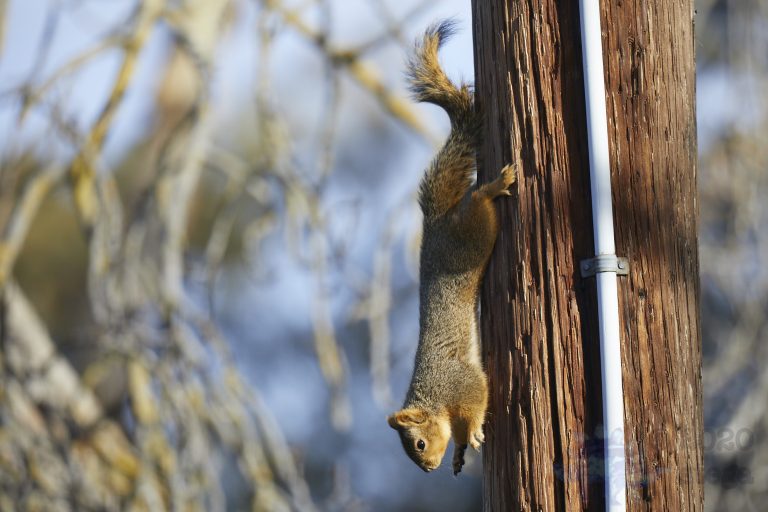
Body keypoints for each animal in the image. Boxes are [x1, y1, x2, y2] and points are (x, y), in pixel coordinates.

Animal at [387, 20, 516, 476]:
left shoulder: (461, 383)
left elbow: (478, 398)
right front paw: (461, 451)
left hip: (473, 236)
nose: (428, 469)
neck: (435, 399)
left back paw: (495, 185)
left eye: (419, 444)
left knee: (479, 203)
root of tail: (436, 223)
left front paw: (475, 432)